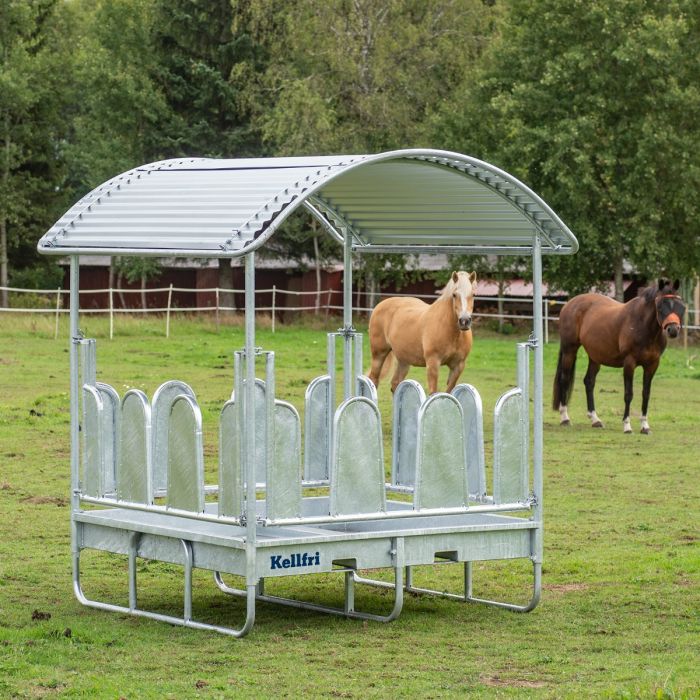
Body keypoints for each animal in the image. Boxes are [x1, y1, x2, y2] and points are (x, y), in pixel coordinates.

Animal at [552, 278, 684, 432]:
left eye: (680, 305)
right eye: (660, 306)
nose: (673, 330)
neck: (643, 326)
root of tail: (569, 304)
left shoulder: (652, 365)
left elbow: (646, 394)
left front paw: (645, 426)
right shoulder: (629, 363)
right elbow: (628, 394)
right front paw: (627, 426)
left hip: (595, 356)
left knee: (589, 382)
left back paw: (595, 419)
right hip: (569, 350)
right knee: (564, 379)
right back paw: (565, 417)